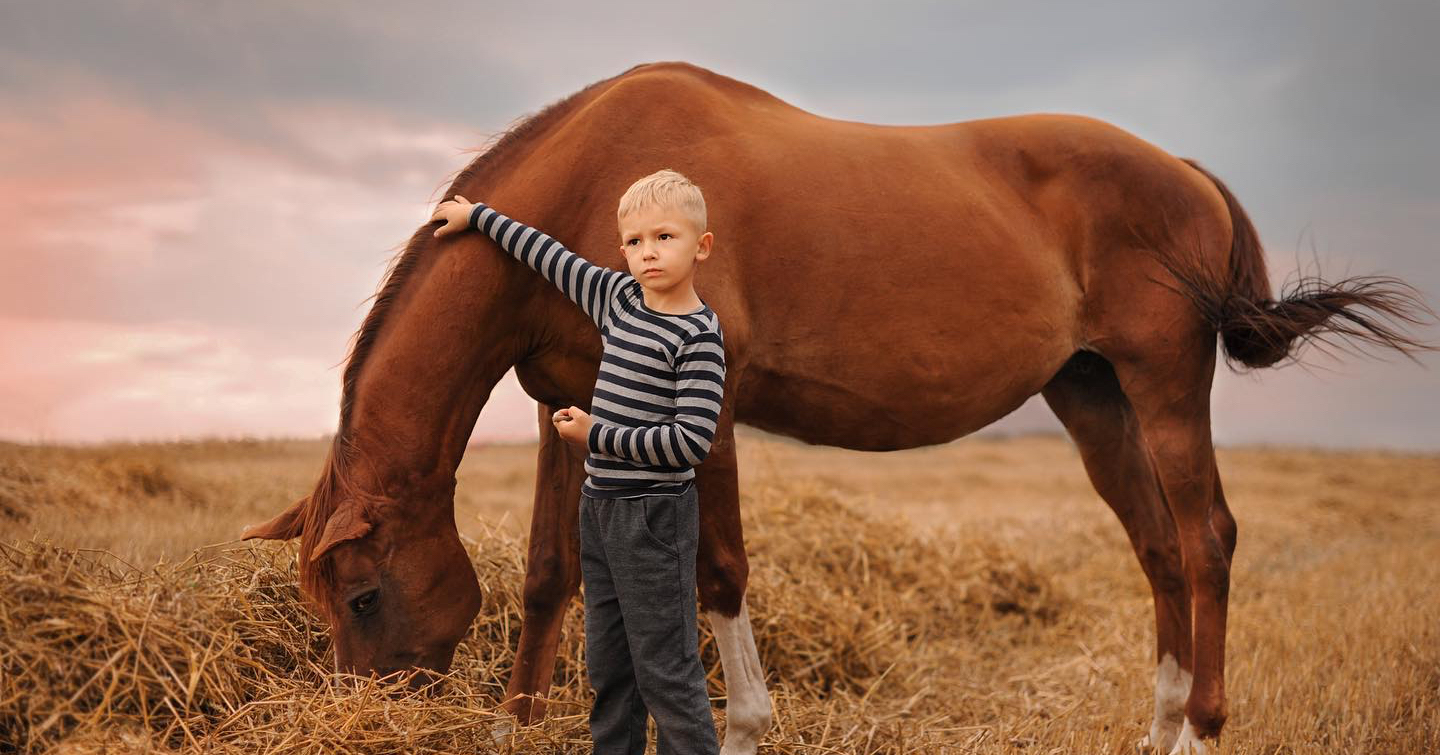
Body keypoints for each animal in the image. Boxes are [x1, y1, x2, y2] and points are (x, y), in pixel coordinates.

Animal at [239, 60, 1428, 755]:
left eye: (361, 597)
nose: (360, 717)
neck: (597, 187)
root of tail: (1184, 170)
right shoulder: (568, 408)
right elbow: (545, 573)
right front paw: (518, 722)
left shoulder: (702, 412)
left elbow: (718, 573)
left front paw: (746, 724)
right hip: (1093, 396)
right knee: (1160, 548)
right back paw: (1161, 722)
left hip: (1166, 384)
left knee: (1207, 537)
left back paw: (1201, 732)